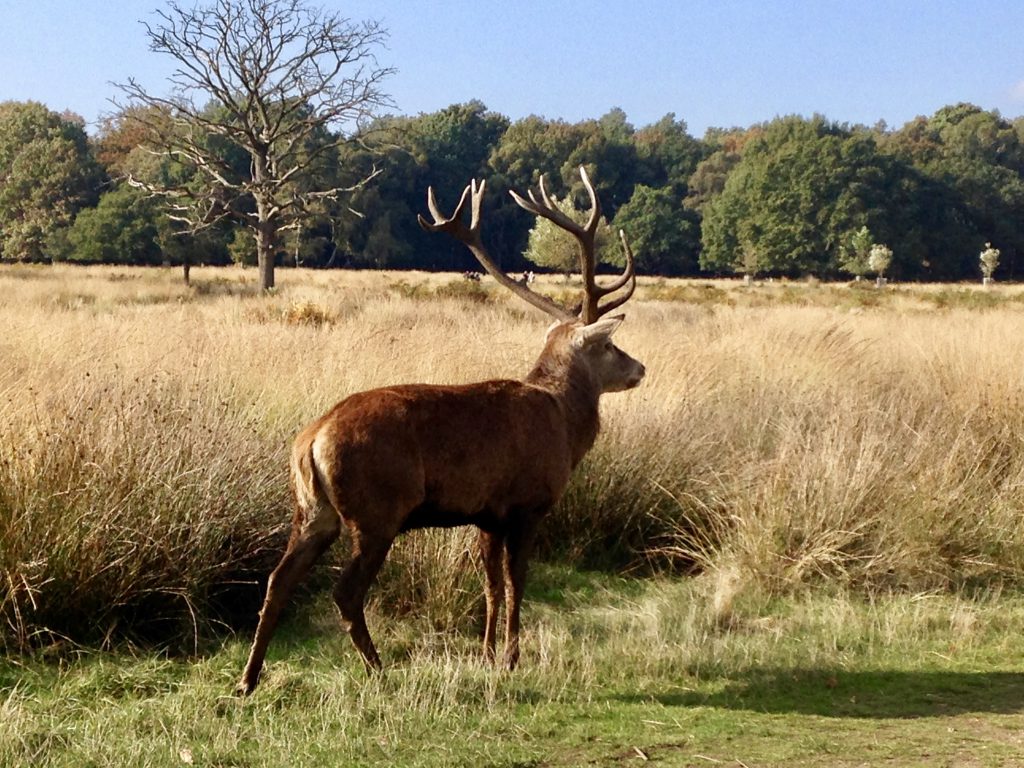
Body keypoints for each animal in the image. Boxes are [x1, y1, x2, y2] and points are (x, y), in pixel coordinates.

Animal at [235, 165, 643, 696]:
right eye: (611, 346)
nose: (640, 368)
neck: (564, 424)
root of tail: (311, 441)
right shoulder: (527, 503)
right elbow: (518, 582)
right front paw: (512, 658)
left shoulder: (488, 514)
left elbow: (490, 584)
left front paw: (487, 655)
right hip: (376, 509)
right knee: (345, 591)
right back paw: (377, 668)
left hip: (312, 510)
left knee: (278, 579)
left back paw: (248, 679)